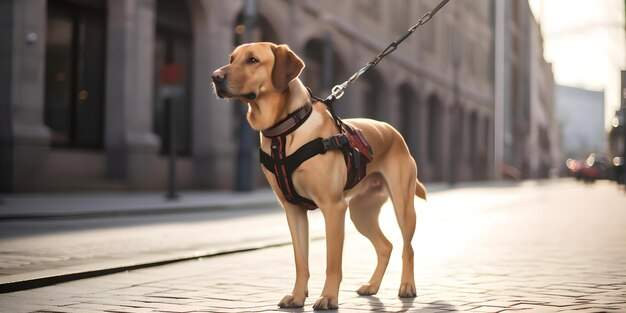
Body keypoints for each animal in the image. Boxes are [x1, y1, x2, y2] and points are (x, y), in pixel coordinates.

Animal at [212, 42, 426, 310]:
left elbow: (332, 263)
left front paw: (328, 297)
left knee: (409, 248)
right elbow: (300, 261)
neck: (284, 132)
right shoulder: (293, 210)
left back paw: (407, 286)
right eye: (232, 58)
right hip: (361, 213)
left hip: (402, 207)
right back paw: (372, 286)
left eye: (252, 60)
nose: (215, 77)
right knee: (385, 246)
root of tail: (394, 132)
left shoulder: (333, 208)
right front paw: (297, 296)